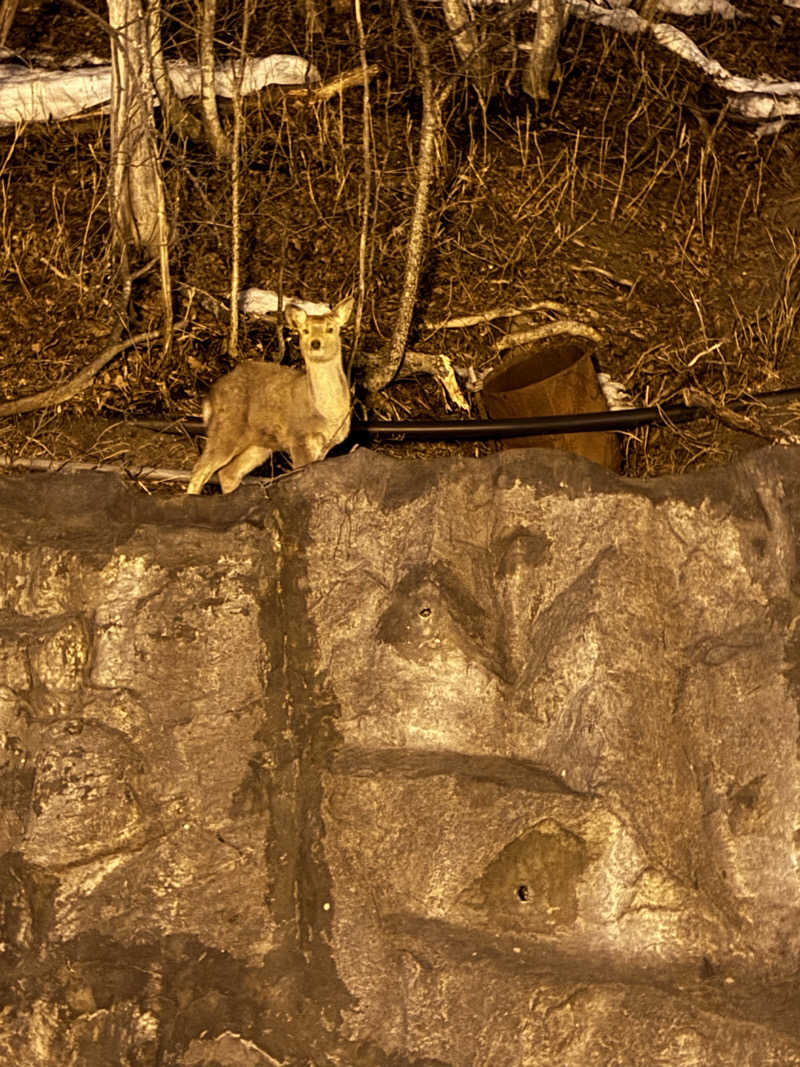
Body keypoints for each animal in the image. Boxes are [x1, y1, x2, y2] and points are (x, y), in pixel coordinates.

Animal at [186, 296, 354, 495]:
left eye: (331, 328)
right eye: (304, 331)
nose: (315, 343)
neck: (326, 413)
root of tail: (210, 397)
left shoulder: (328, 444)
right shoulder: (299, 437)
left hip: (259, 443)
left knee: (228, 472)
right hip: (226, 426)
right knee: (200, 470)